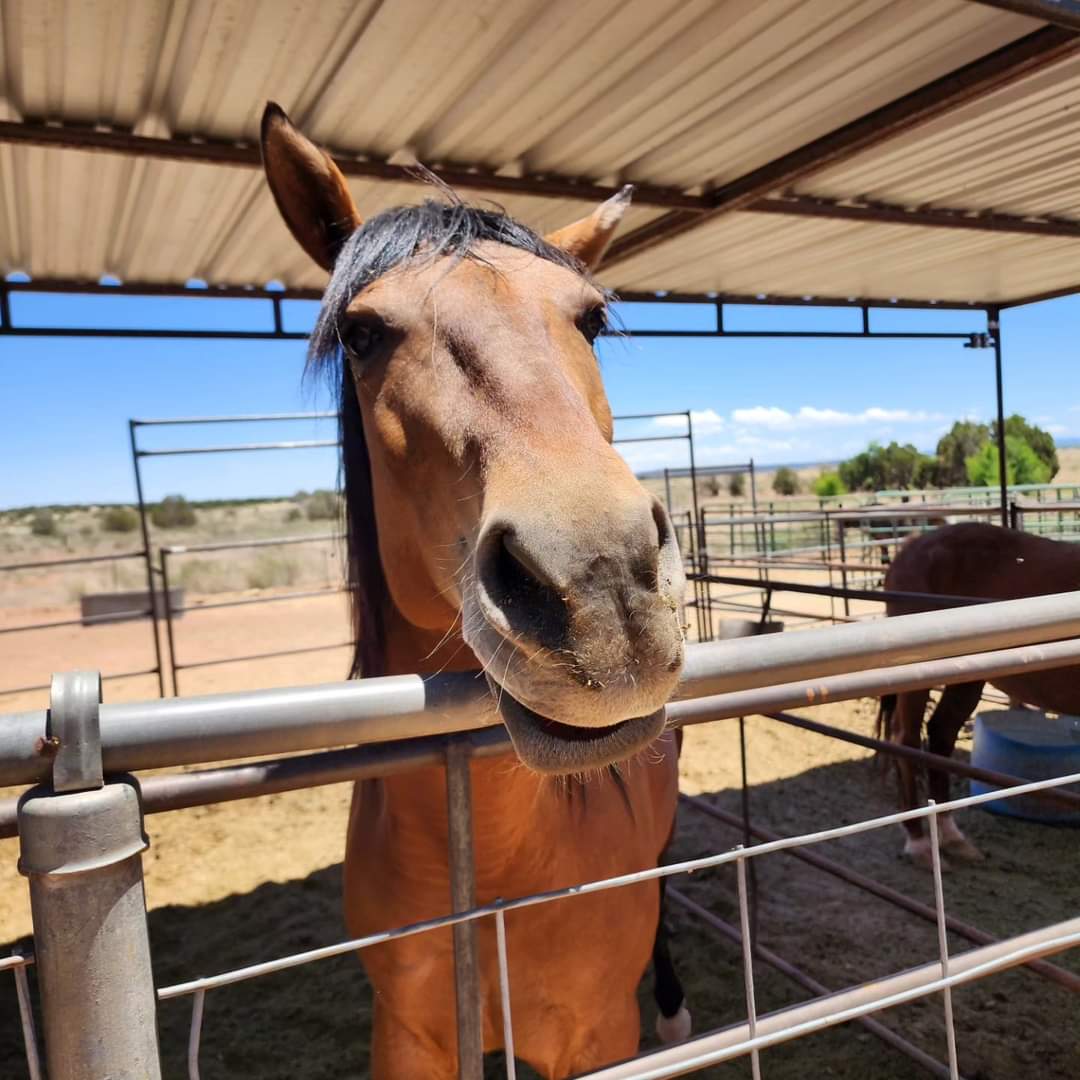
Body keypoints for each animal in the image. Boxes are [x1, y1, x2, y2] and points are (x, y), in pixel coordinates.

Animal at [259, 103, 691, 1080]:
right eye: (363, 333)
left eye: (592, 320)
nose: (602, 579)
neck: (492, 876)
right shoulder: (407, 1037)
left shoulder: (599, 1037)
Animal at [876, 522, 1080, 868]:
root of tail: (912, 546)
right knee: (906, 741)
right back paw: (919, 842)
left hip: (966, 677)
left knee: (940, 735)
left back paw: (950, 836)